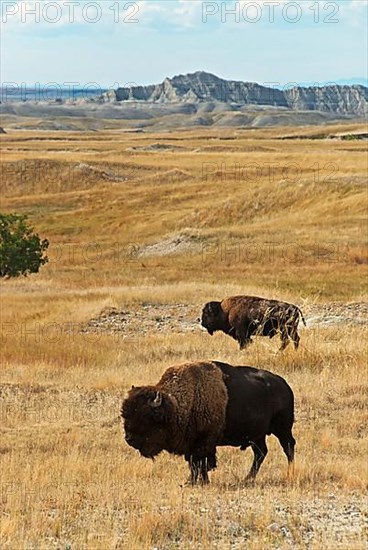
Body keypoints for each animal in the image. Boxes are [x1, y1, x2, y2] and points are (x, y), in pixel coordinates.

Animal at [121, 362, 296, 488]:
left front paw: (200, 482)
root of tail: (284, 385)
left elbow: (202, 463)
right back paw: (247, 478)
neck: (176, 404)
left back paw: (289, 473)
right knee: (261, 453)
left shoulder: (205, 443)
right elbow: (194, 464)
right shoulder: (191, 445)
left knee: (288, 447)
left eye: (146, 416)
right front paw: (191, 481)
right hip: (257, 436)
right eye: (125, 414)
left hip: (283, 429)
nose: (129, 439)